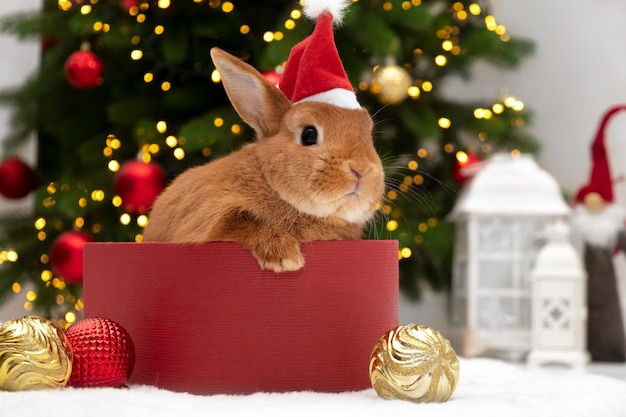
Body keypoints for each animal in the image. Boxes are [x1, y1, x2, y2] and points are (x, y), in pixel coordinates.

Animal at [143, 47, 386, 272]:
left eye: (369, 135)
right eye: (309, 135)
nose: (361, 170)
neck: (270, 184)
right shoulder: (206, 219)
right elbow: (240, 221)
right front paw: (285, 258)